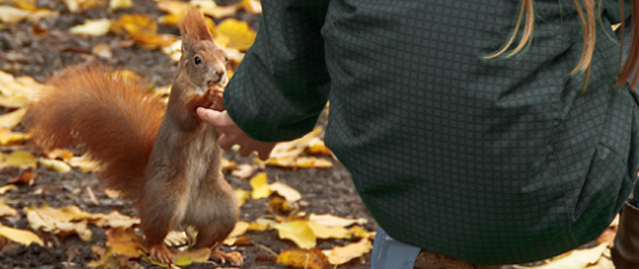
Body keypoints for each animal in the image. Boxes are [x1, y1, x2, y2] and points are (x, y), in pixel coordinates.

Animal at [23, 7, 240, 264]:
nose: (220, 74)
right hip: (166, 200)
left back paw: (221, 252)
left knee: (205, 242)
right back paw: (161, 250)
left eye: (225, 57)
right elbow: (186, 117)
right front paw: (208, 96)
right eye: (197, 60)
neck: (196, 84)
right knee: (154, 233)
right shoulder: (178, 100)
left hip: (223, 209)